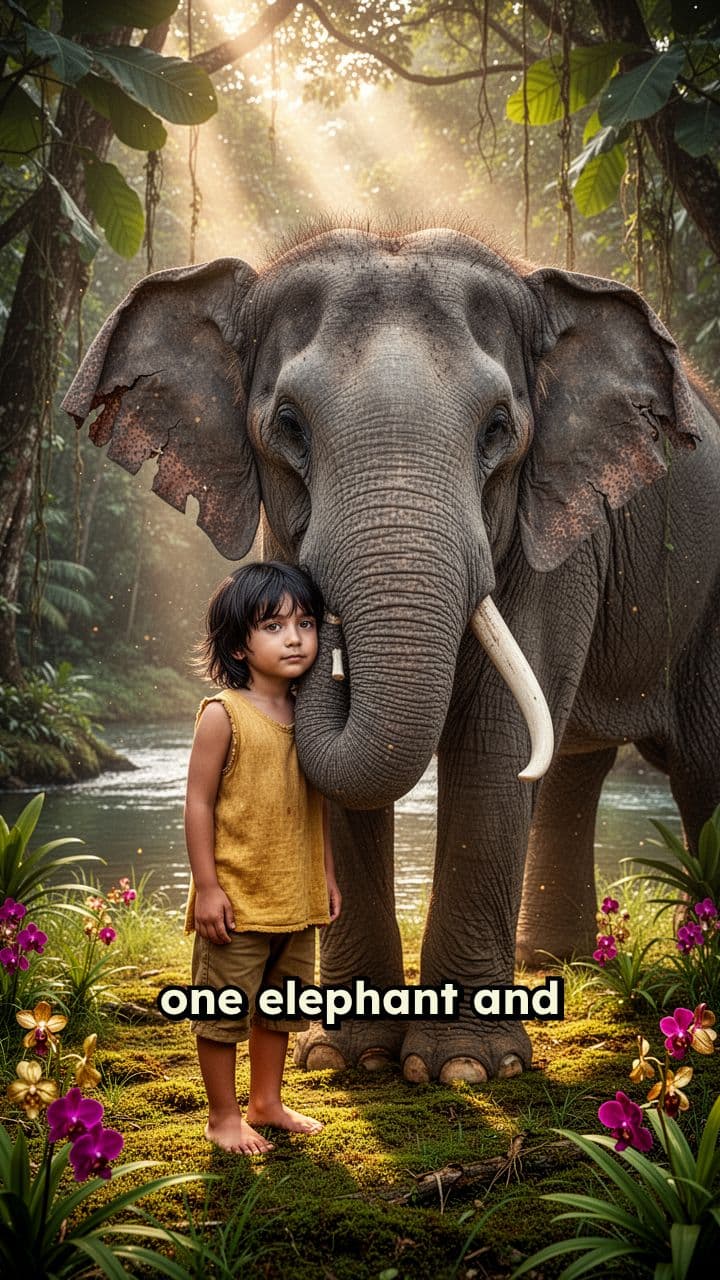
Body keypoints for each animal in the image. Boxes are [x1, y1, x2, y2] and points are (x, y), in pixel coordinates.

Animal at [63, 224, 720, 1084]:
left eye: (498, 429)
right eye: (290, 425)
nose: (303, 635)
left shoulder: (559, 530)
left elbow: (494, 742)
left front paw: (466, 1068)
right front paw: (350, 1060)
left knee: (698, 763)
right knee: (577, 769)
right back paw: (557, 965)